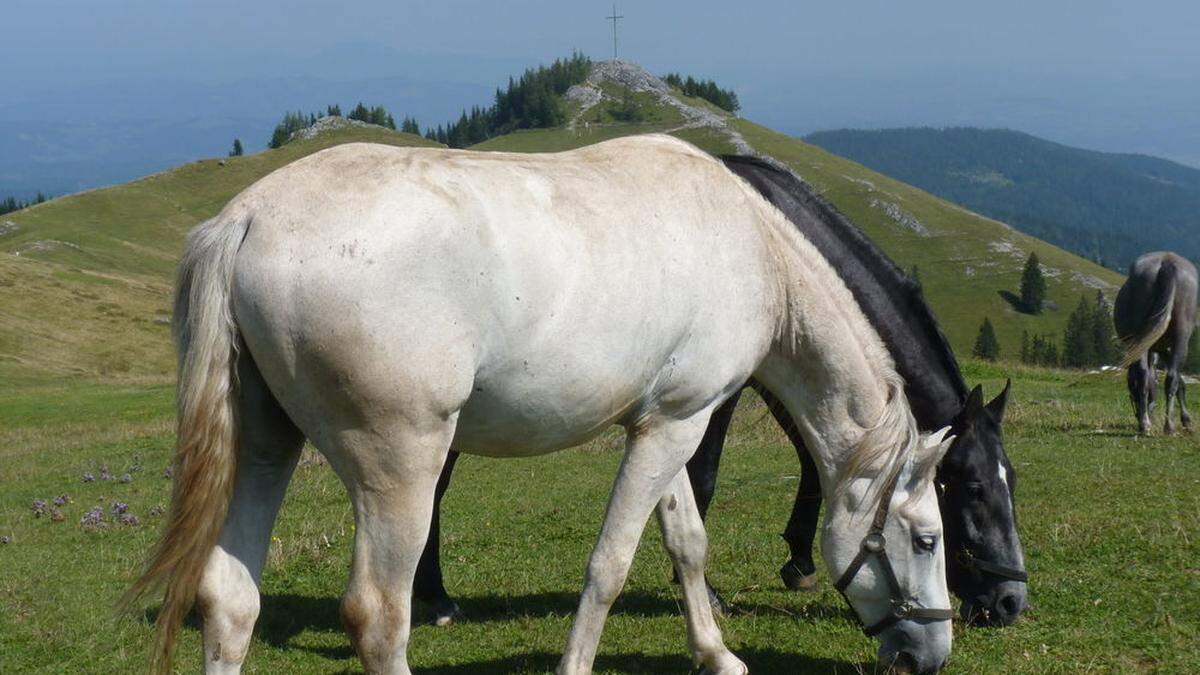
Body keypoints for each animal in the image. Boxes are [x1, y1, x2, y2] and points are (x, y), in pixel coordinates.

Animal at [129, 133, 955, 667]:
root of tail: (246, 220)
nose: (934, 652)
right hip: (401, 467)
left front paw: (717, 653)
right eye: (926, 539)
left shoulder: (665, 421)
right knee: (379, 616)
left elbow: (687, 542)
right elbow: (611, 565)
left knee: (231, 601)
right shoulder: (676, 425)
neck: (754, 249)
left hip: (264, 446)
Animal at [415, 152, 1032, 624]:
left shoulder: (788, 376)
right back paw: (435, 599)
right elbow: (705, 475)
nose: (1010, 602)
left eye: (1012, 479)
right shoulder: (723, 390)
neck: (776, 236)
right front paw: (704, 590)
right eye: (972, 486)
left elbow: (814, 460)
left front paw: (799, 563)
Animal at [1108, 251, 1195, 429]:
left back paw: (1149, 424)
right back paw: (1164, 425)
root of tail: (1167, 262)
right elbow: (1179, 381)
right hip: (1175, 338)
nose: (1136, 414)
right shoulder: (1162, 349)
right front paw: (1186, 419)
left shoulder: (1158, 349)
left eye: (1131, 388)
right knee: (1167, 376)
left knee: (1147, 374)